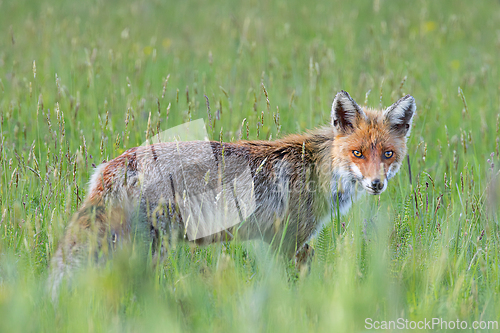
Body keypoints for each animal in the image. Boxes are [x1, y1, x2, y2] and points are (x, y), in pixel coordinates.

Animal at [48, 89, 416, 294]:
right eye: (357, 153)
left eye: (387, 154)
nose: (377, 184)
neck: (316, 167)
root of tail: (116, 163)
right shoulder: (289, 240)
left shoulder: (276, 242)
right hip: (148, 245)